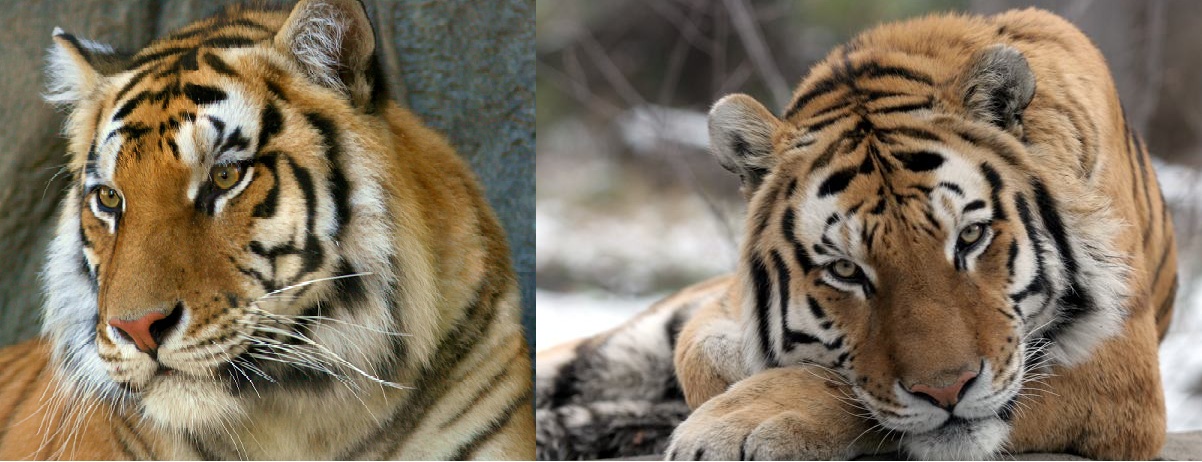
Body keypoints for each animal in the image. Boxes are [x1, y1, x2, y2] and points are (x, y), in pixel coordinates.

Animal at [536, 8, 1178, 460]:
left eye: (970, 238)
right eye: (845, 269)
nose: (948, 391)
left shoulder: (1119, 373)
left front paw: (734, 419)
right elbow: (708, 356)